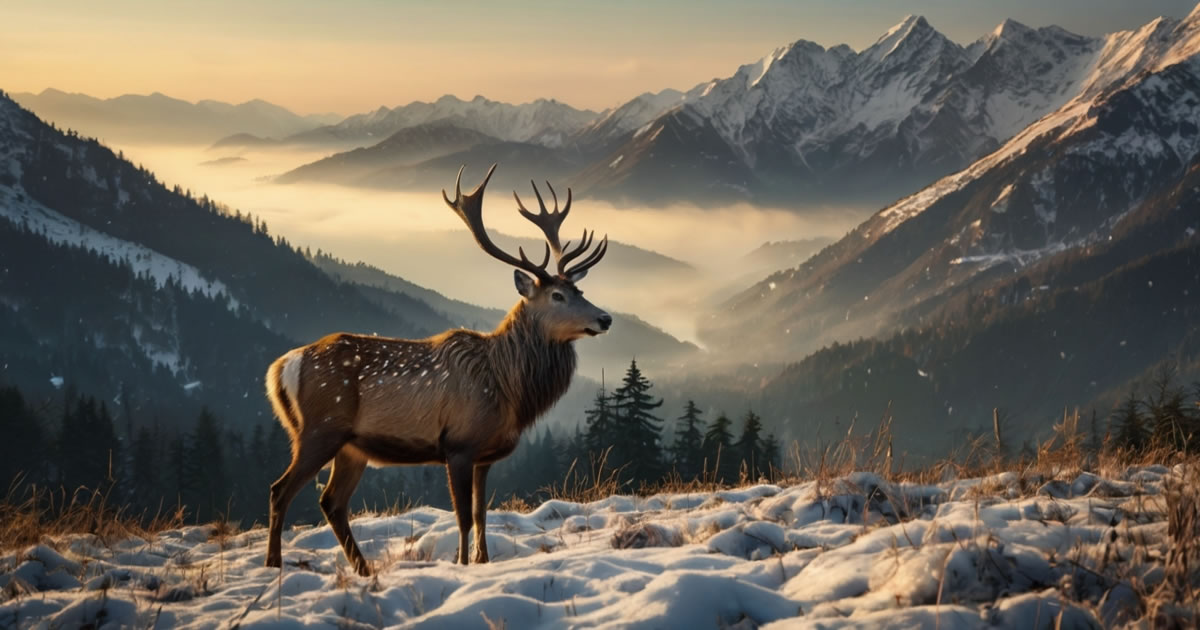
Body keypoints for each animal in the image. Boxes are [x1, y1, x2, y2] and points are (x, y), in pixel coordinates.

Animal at [262, 164, 611, 576]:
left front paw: (482, 562)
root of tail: (283, 367)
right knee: (280, 490)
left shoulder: (484, 455)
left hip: (351, 446)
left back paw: (363, 569)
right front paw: (461, 563)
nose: (605, 318)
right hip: (319, 429)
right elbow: (462, 516)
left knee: (331, 501)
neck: (508, 389)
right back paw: (273, 566)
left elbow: (481, 514)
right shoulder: (458, 443)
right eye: (557, 295)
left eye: (580, 291)